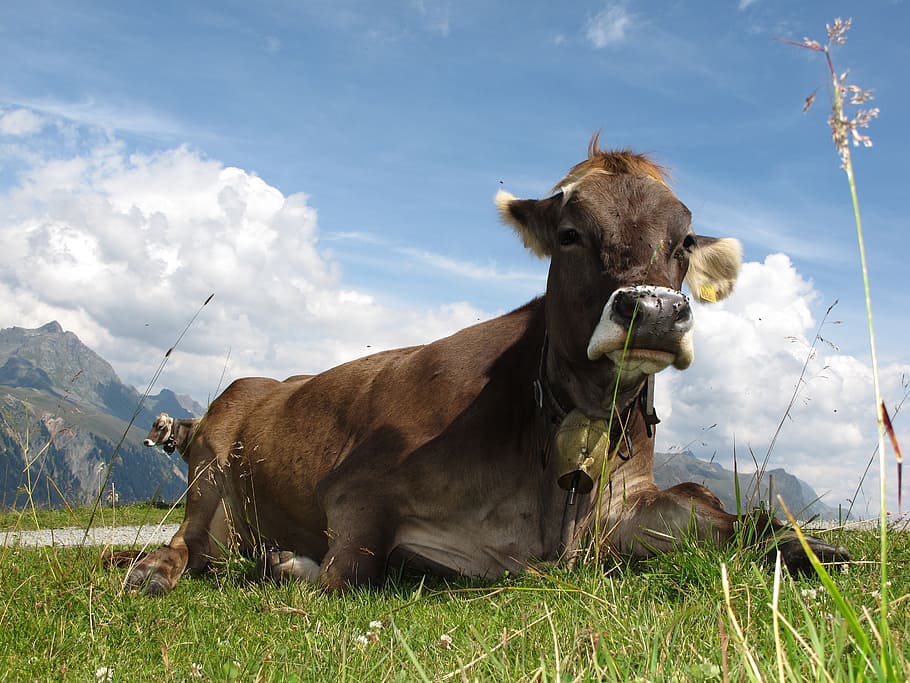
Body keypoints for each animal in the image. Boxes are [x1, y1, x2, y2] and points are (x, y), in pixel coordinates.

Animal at [123, 136, 848, 595]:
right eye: (570, 234)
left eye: (685, 241)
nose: (655, 311)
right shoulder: (356, 487)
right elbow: (350, 571)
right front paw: (294, 566)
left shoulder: (628, 506)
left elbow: (728, 516)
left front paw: (814, 549)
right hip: (211, 475)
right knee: (188, 543)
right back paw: (159, 571)